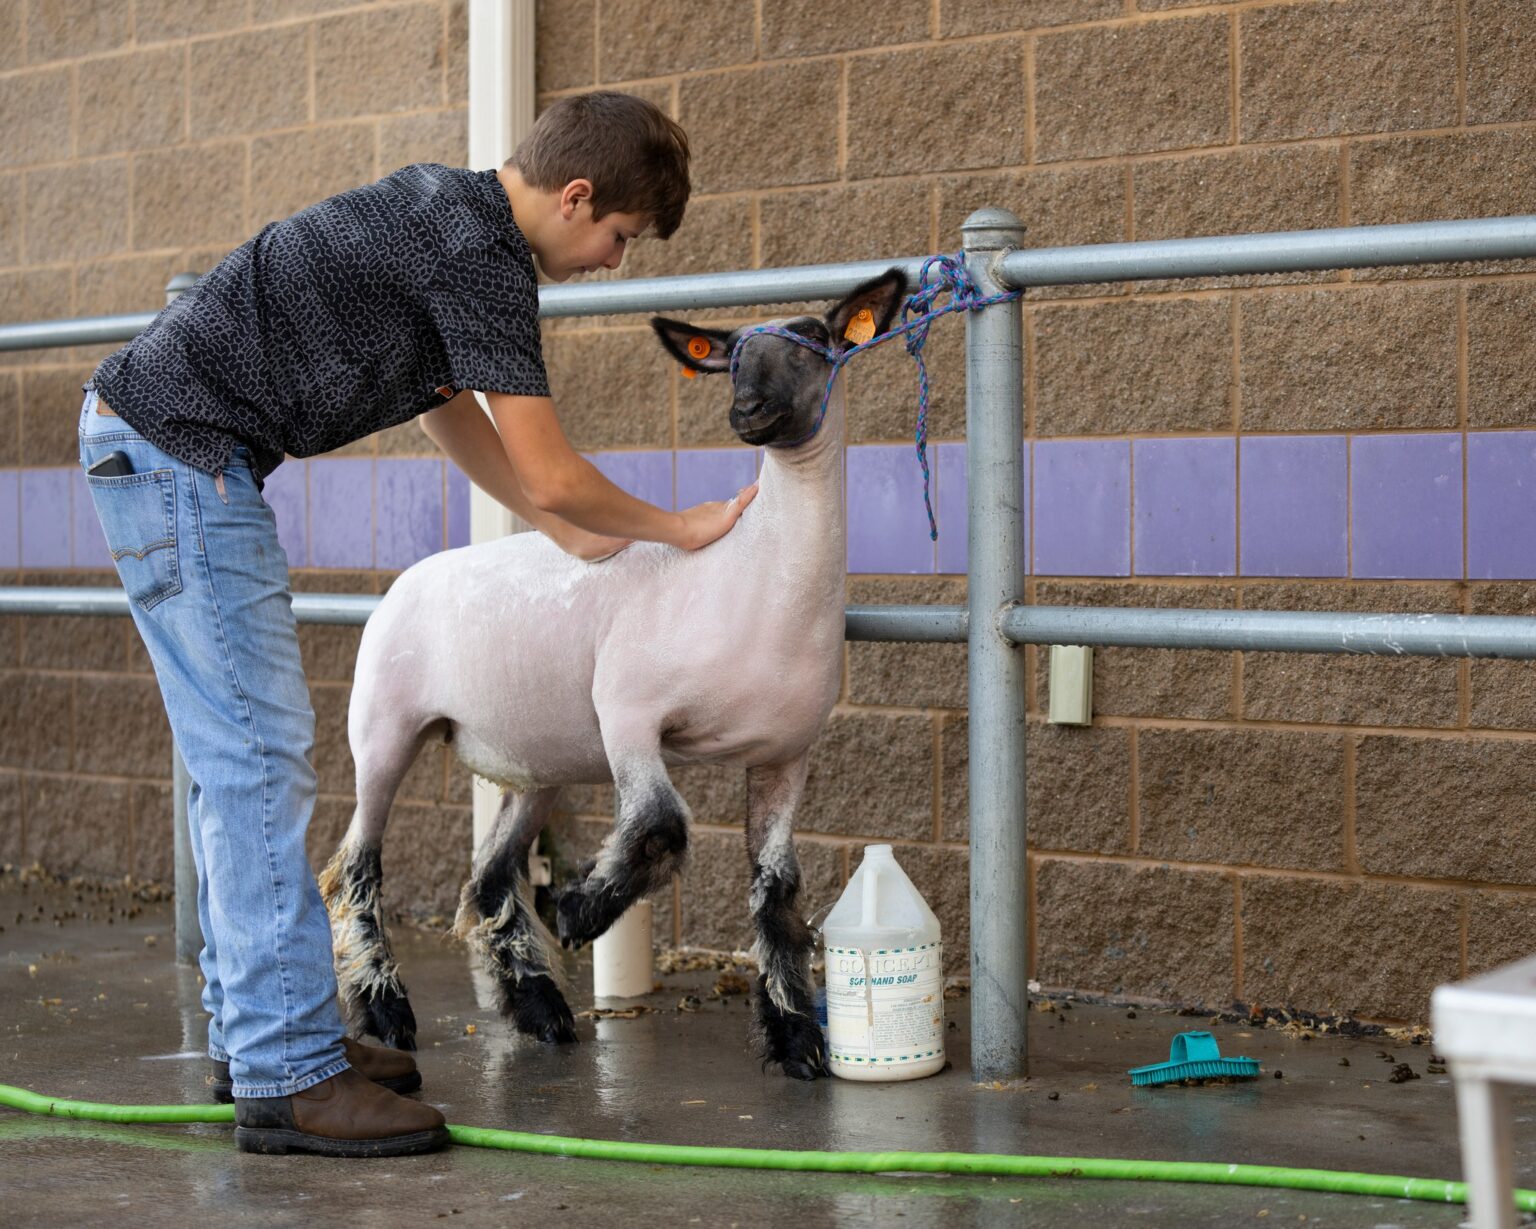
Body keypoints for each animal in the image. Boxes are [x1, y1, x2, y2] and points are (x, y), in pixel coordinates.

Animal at [319, 268, 909, 1080]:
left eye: (815, 341)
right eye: (730, 355)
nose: (747, 412)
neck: (756, 574)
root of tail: (406, 578)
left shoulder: (786, 753)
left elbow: (779, 888)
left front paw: (794, 1038)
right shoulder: (628, 709)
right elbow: (662, 823)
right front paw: (581, 909)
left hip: (538, 756)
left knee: (490, 873)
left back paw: (540, 1007)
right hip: (383, 725)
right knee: (356, 867)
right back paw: (386, 1009)